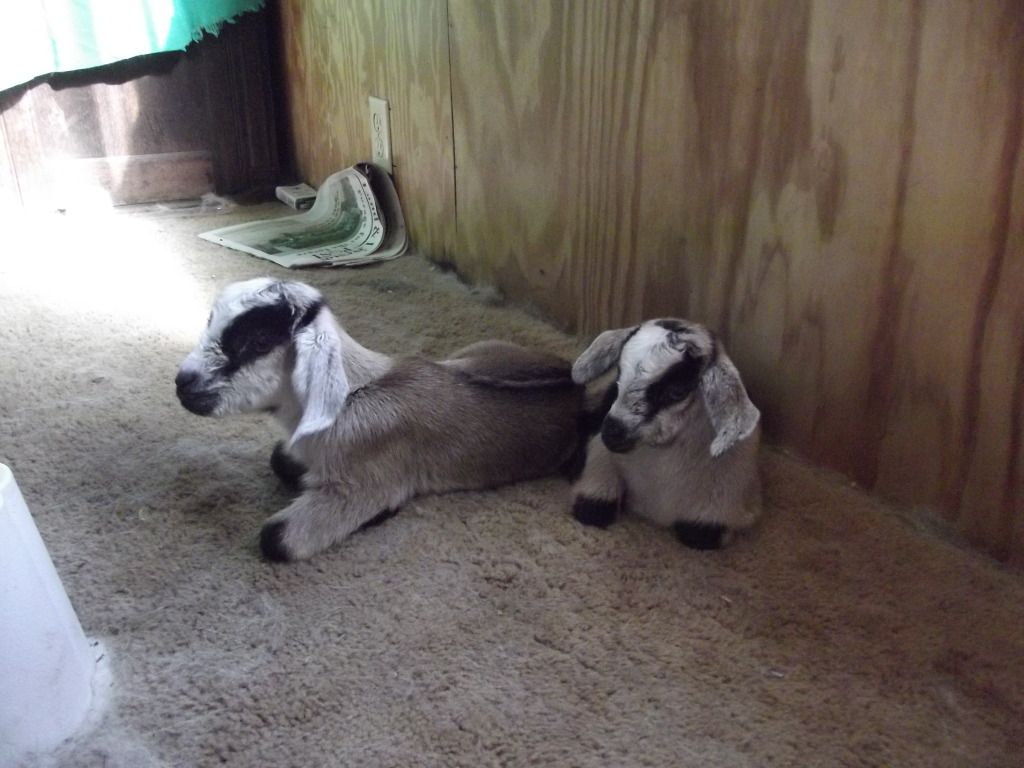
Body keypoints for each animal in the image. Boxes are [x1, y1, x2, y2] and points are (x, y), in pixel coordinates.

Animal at [175, 278, 582, 561]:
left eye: (259, 341)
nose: (183, 382)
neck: (352, 397)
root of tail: (575, 382)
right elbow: (279, 459)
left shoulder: (364, 484)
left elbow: (276, 538)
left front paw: (381, 514)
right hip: (473, 352)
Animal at [569, 319, 762, 549]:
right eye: (618, 375)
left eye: (676, 392)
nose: (612, 433)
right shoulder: (599, 467)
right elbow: (592, 510)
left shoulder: (716, 510)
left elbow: (698, 535)